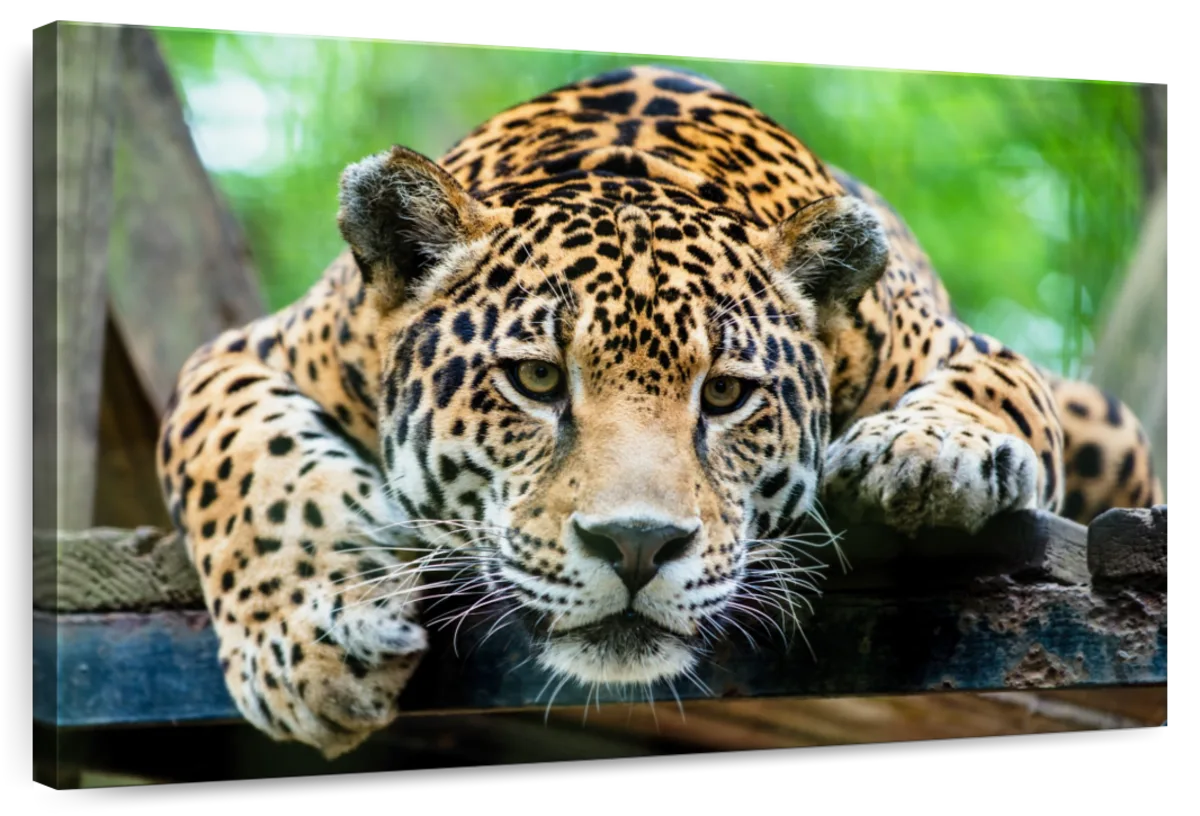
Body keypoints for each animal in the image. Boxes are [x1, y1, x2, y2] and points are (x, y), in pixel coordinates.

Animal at [156, 64, 1164, 759]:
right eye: (535, 381)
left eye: (724, 394)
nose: (637, 546)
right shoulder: (245, 353)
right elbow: (244, 466)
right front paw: (308, 651)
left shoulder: (962, 348)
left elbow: (995, 389)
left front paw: (926, 453)